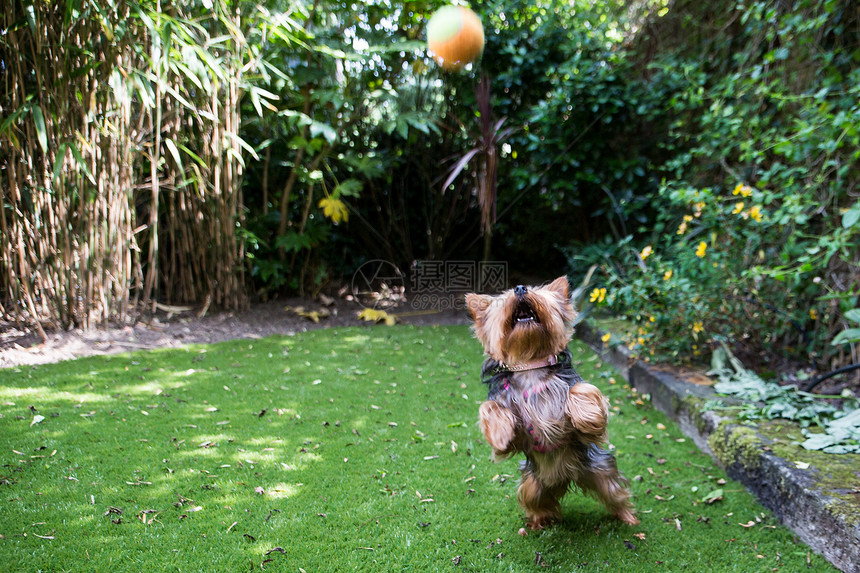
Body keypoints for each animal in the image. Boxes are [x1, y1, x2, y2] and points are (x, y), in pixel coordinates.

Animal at [464, 274, 640, 528]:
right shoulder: (518, 433)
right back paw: (539, 522)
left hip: (600, 470)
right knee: (536, 502)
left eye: (535, 290)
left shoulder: (573, 388)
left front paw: (587, 416)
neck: (530, 366)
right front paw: (499, 433)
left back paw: (629, 519)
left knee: (616, 493)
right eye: (506, 296)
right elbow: (491, 408)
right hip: (532, 483)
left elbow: (580, 389)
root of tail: (564, 476)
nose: (520, 288)